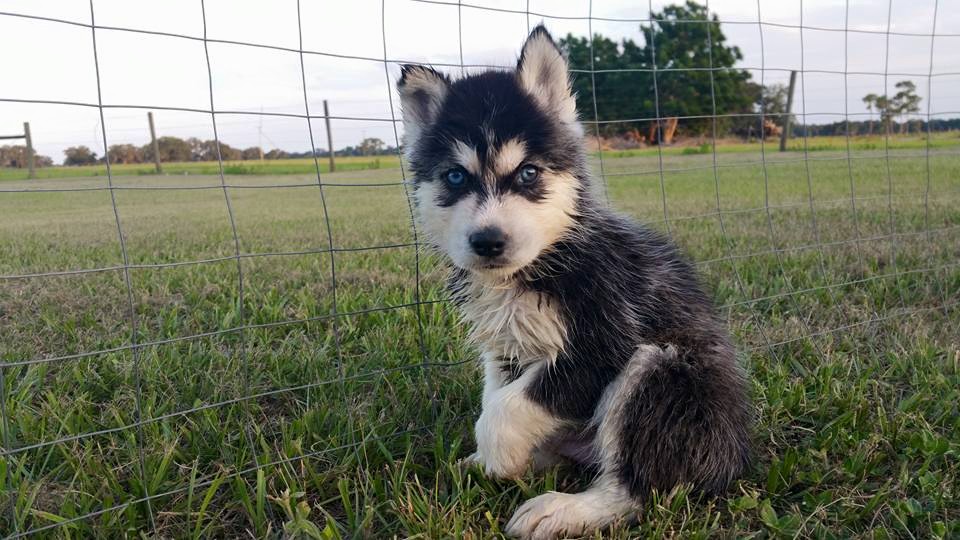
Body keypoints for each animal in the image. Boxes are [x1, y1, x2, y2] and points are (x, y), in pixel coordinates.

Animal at [396, 24, 752, 536]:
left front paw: (499, 455)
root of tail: (735, 452)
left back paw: (568, 508)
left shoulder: (605, 340)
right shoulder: (505, 347)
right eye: (455, 177)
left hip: (662, 372)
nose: (488, 241)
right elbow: (495, 396)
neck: (544, 262)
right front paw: (492, 458)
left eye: (528, 173)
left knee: (638, 486)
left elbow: (505, 410)